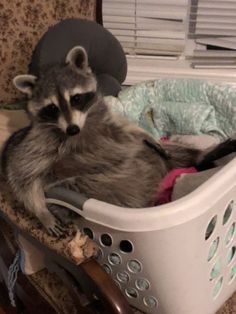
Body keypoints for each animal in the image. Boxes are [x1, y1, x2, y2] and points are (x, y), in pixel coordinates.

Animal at [1, 46, 236, 237]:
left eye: (75, 98)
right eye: (52, 108)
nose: (72, 129)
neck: (81, 126)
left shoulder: (109, 124)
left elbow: (129, 129)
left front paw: (147, 134)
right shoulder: (37, 142)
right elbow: (21, 174)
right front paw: (41, 212)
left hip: (154, 154)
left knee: (172, 152)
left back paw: (203, 155)